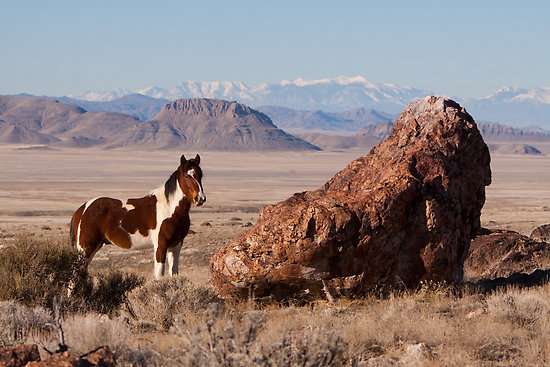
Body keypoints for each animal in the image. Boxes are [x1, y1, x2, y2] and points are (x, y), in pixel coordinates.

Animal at [69, 153, 207, 278]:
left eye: (200, 175)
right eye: (187, 176)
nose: (200, 198)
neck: (170, 208)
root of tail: (81, 210)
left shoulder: (176, 246)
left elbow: (174, 273)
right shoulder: (161, 245)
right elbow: (159, 275)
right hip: (85, 249)